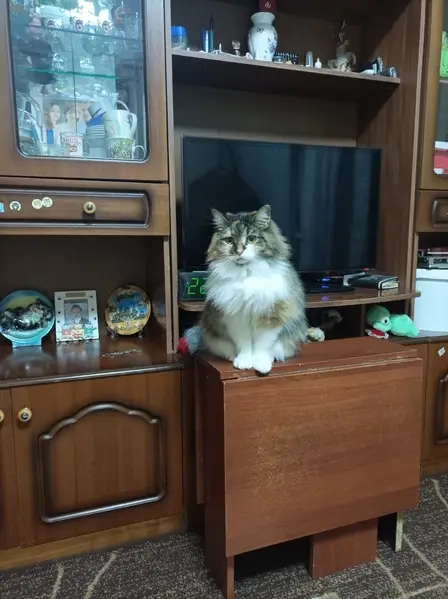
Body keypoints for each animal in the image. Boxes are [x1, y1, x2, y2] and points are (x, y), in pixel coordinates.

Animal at [191, 204, 308, 374]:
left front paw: (261, 364)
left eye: (251, 239)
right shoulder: (236, 317)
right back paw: (232, 356)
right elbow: (244, 344)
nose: (239, 251)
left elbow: (263, 345)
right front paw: (244, 362)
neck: (245, 275)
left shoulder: (271, 315)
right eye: (229, 240)